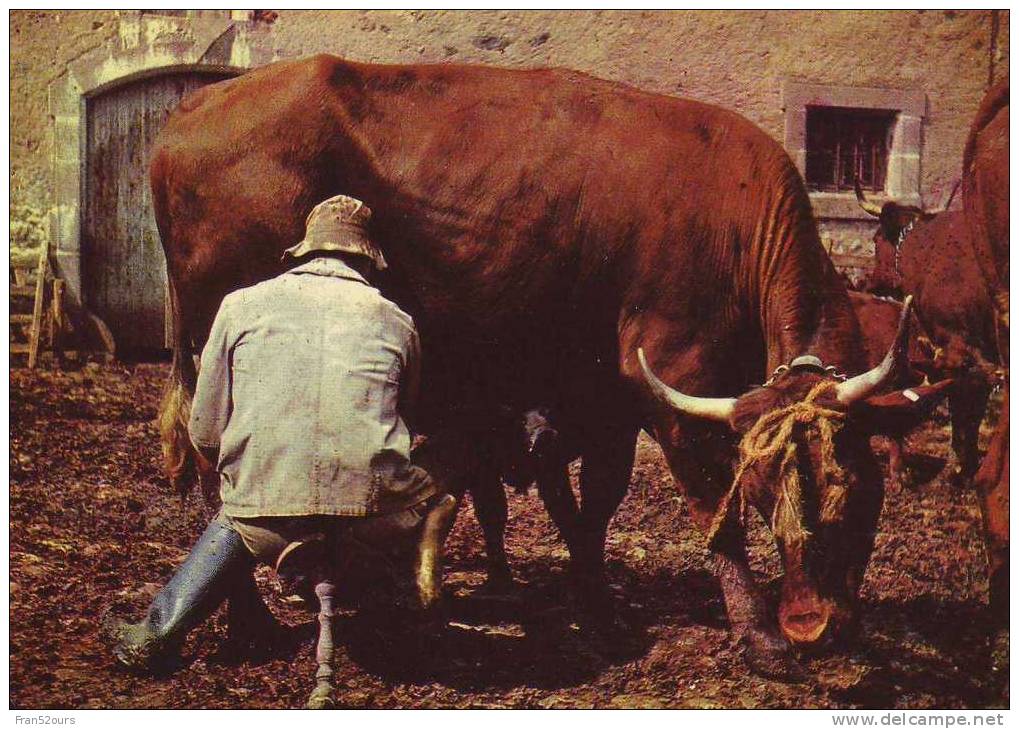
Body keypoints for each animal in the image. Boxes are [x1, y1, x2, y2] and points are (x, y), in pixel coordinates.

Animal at [154, 57, 941, 677]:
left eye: (856, 486)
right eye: (759, 489)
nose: (814, 624)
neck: (734, 224)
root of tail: (195, 105)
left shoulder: (608, 398)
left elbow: (593, 505)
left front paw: (594, 599)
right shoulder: (674, 382)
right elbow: (706, 507)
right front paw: (757, 633)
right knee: (215, 473)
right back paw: (250, 622)